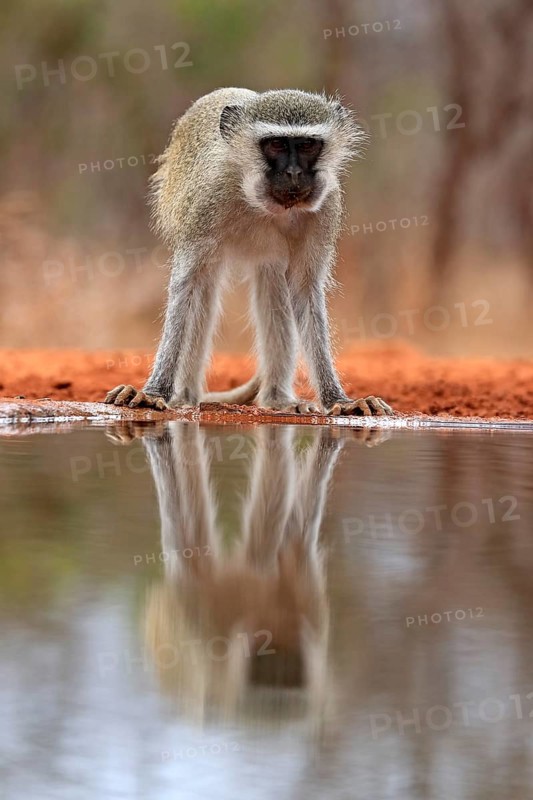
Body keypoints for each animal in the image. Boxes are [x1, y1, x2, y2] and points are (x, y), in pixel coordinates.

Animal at [104, 88, 393, 416]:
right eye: (276, 144)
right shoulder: (209, 198)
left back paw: (277, 399)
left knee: (272, 284)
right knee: (204, 291)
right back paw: (186, 396)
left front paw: (338, 400)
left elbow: (304, 290)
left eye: (307, 145)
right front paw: (153, 392)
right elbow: (186, 285)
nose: (294, 172)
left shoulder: (326, 205)